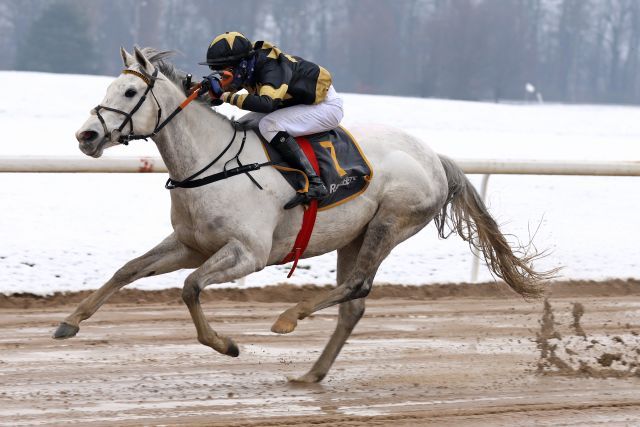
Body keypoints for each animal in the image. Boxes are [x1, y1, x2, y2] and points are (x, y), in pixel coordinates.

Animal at [57, 47, 552, 384]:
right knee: (354, 305)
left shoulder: (248, 254)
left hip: (391, 222)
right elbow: (128, 270)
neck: (211, 165)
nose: (86, 136)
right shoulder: (189, 244)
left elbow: (191, 287)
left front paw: (226, 344)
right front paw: (69, 322)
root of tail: (435, 158)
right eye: (108, 89)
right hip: (355, 236)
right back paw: (312, 373)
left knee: (357, 285)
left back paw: (289, 318)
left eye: (130, 91)